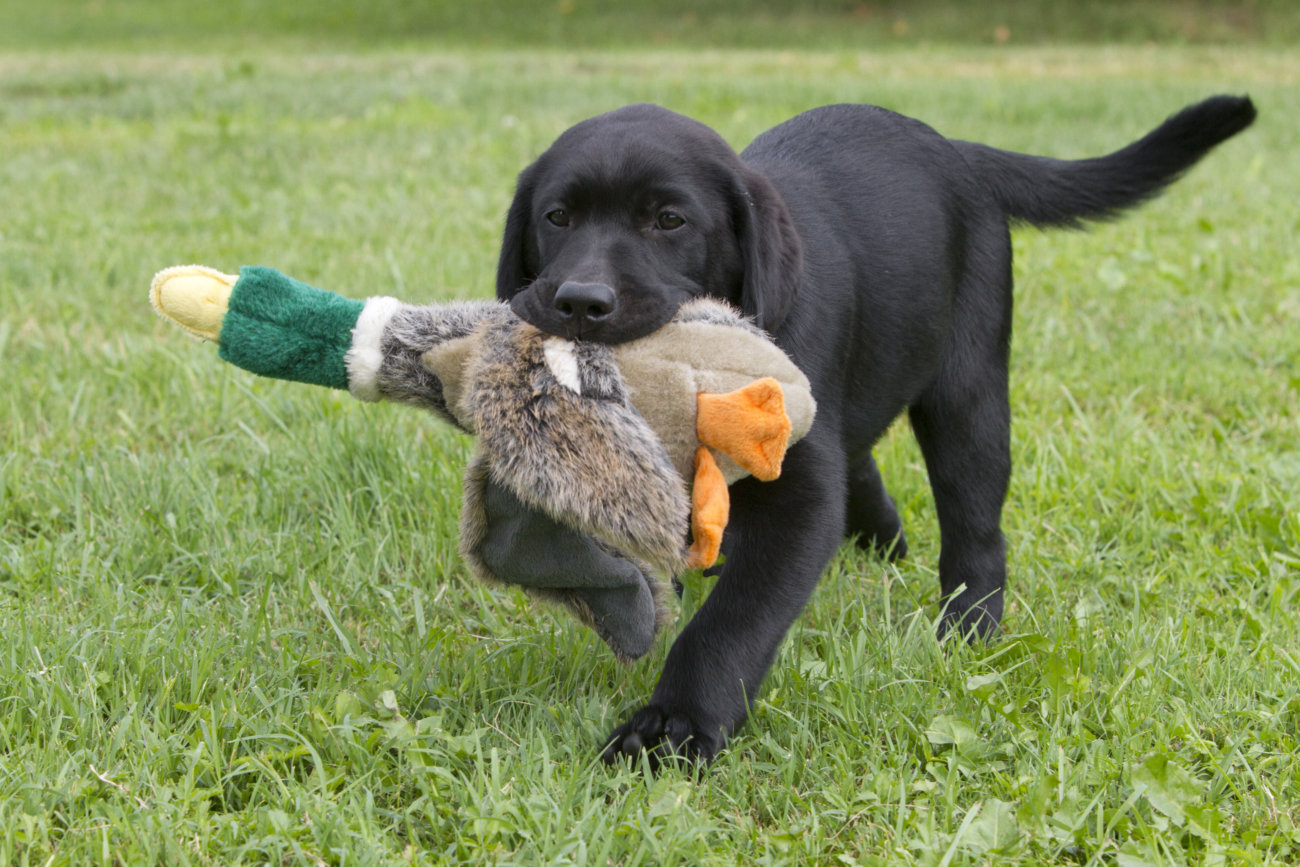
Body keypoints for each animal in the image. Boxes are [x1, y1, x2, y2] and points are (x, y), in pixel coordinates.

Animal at [491, 94, 1253, 764]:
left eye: (669, 220)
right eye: (557, 217)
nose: (581, 301)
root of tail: (959, 150)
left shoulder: (800, 494)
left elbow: (732, 621)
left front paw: (676, 725)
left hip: (968, 393)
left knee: (975, 528)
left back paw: (969, 631)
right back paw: (883, 537)